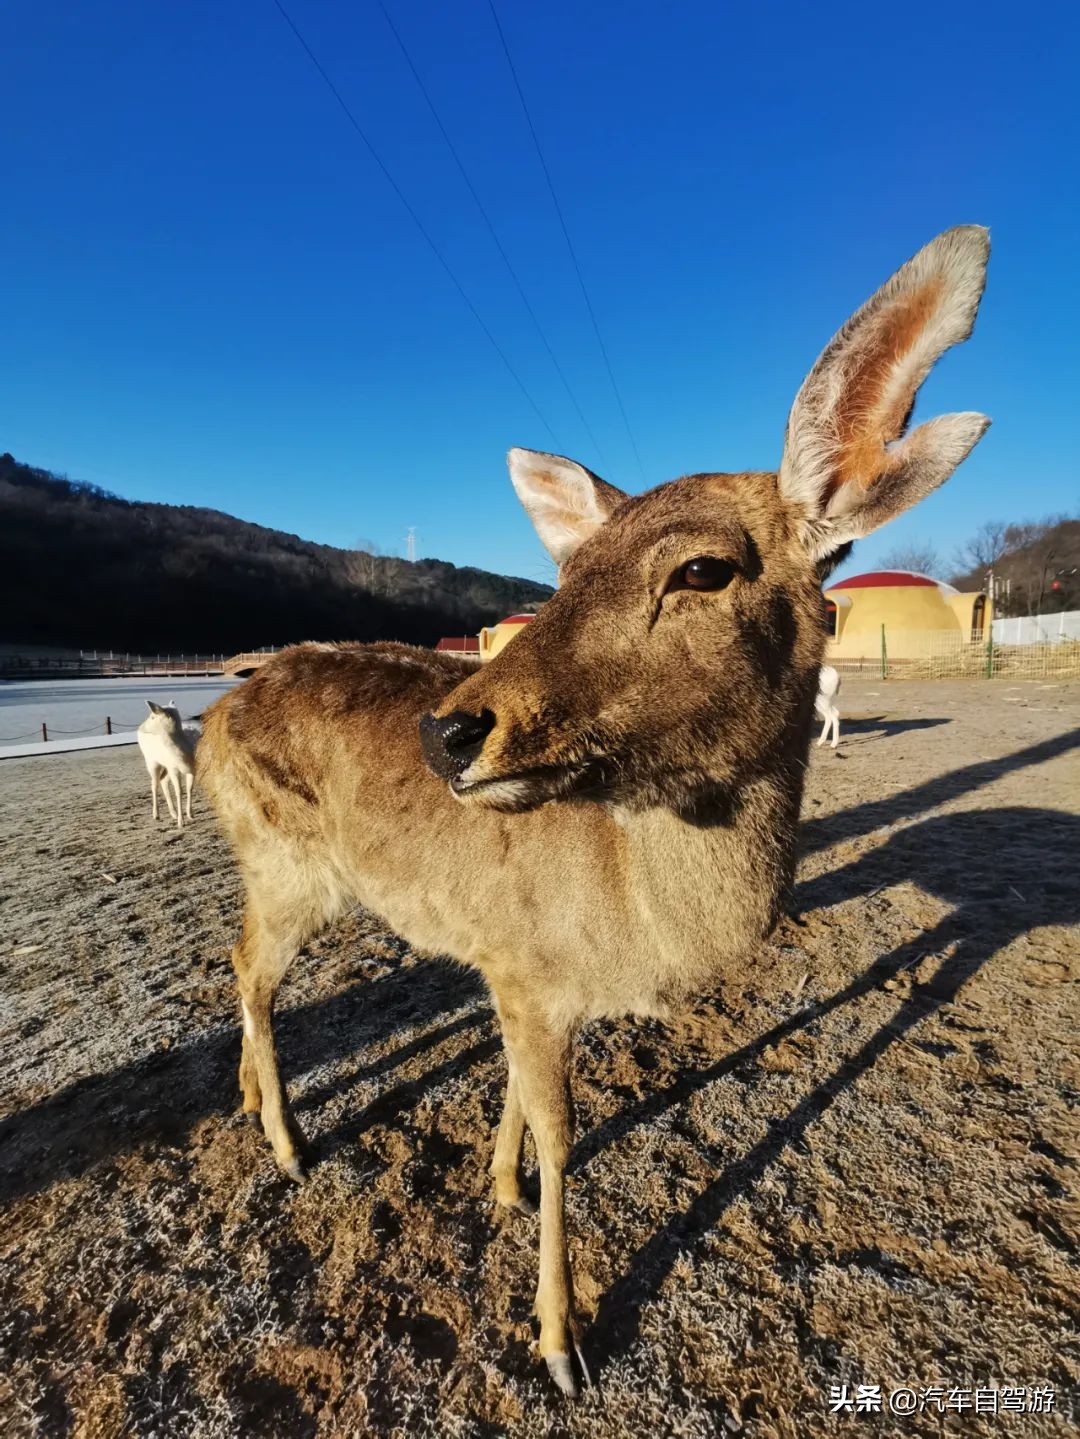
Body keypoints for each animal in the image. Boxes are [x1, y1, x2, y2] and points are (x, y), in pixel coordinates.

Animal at [197, 227, 990, 1396]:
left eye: (703, 567)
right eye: (566, 572)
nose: (449, 732)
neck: (632, 928)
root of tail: (207, 716)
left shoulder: (510, 967)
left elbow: (522, 1102)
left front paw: (497, 1185)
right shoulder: (526, 969)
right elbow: (565, 1132)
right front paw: (562, 1340)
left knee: (238, 954)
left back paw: (255, 1108)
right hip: (287, 863)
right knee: (249, 966)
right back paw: (290, 1145)